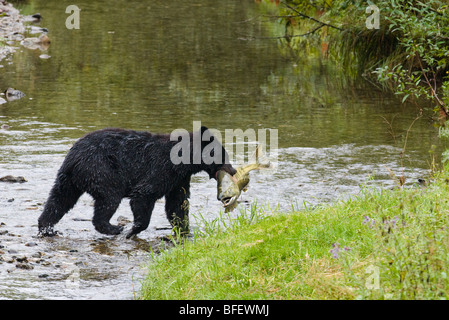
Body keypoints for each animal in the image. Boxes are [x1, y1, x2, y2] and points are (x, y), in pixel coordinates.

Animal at [37, 126, 238, 239]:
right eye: (223, 155)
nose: (234, 170)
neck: (184, 161)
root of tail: (74, 157)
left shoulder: (178, 179)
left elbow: (177, 204)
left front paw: (184, 231)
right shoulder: (161, 168)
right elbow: (143, 194)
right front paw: (133, 230)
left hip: (69, 179)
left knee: (59, 200)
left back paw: (46, 227)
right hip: (100, 169)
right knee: (109, 198)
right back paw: (114, 228)